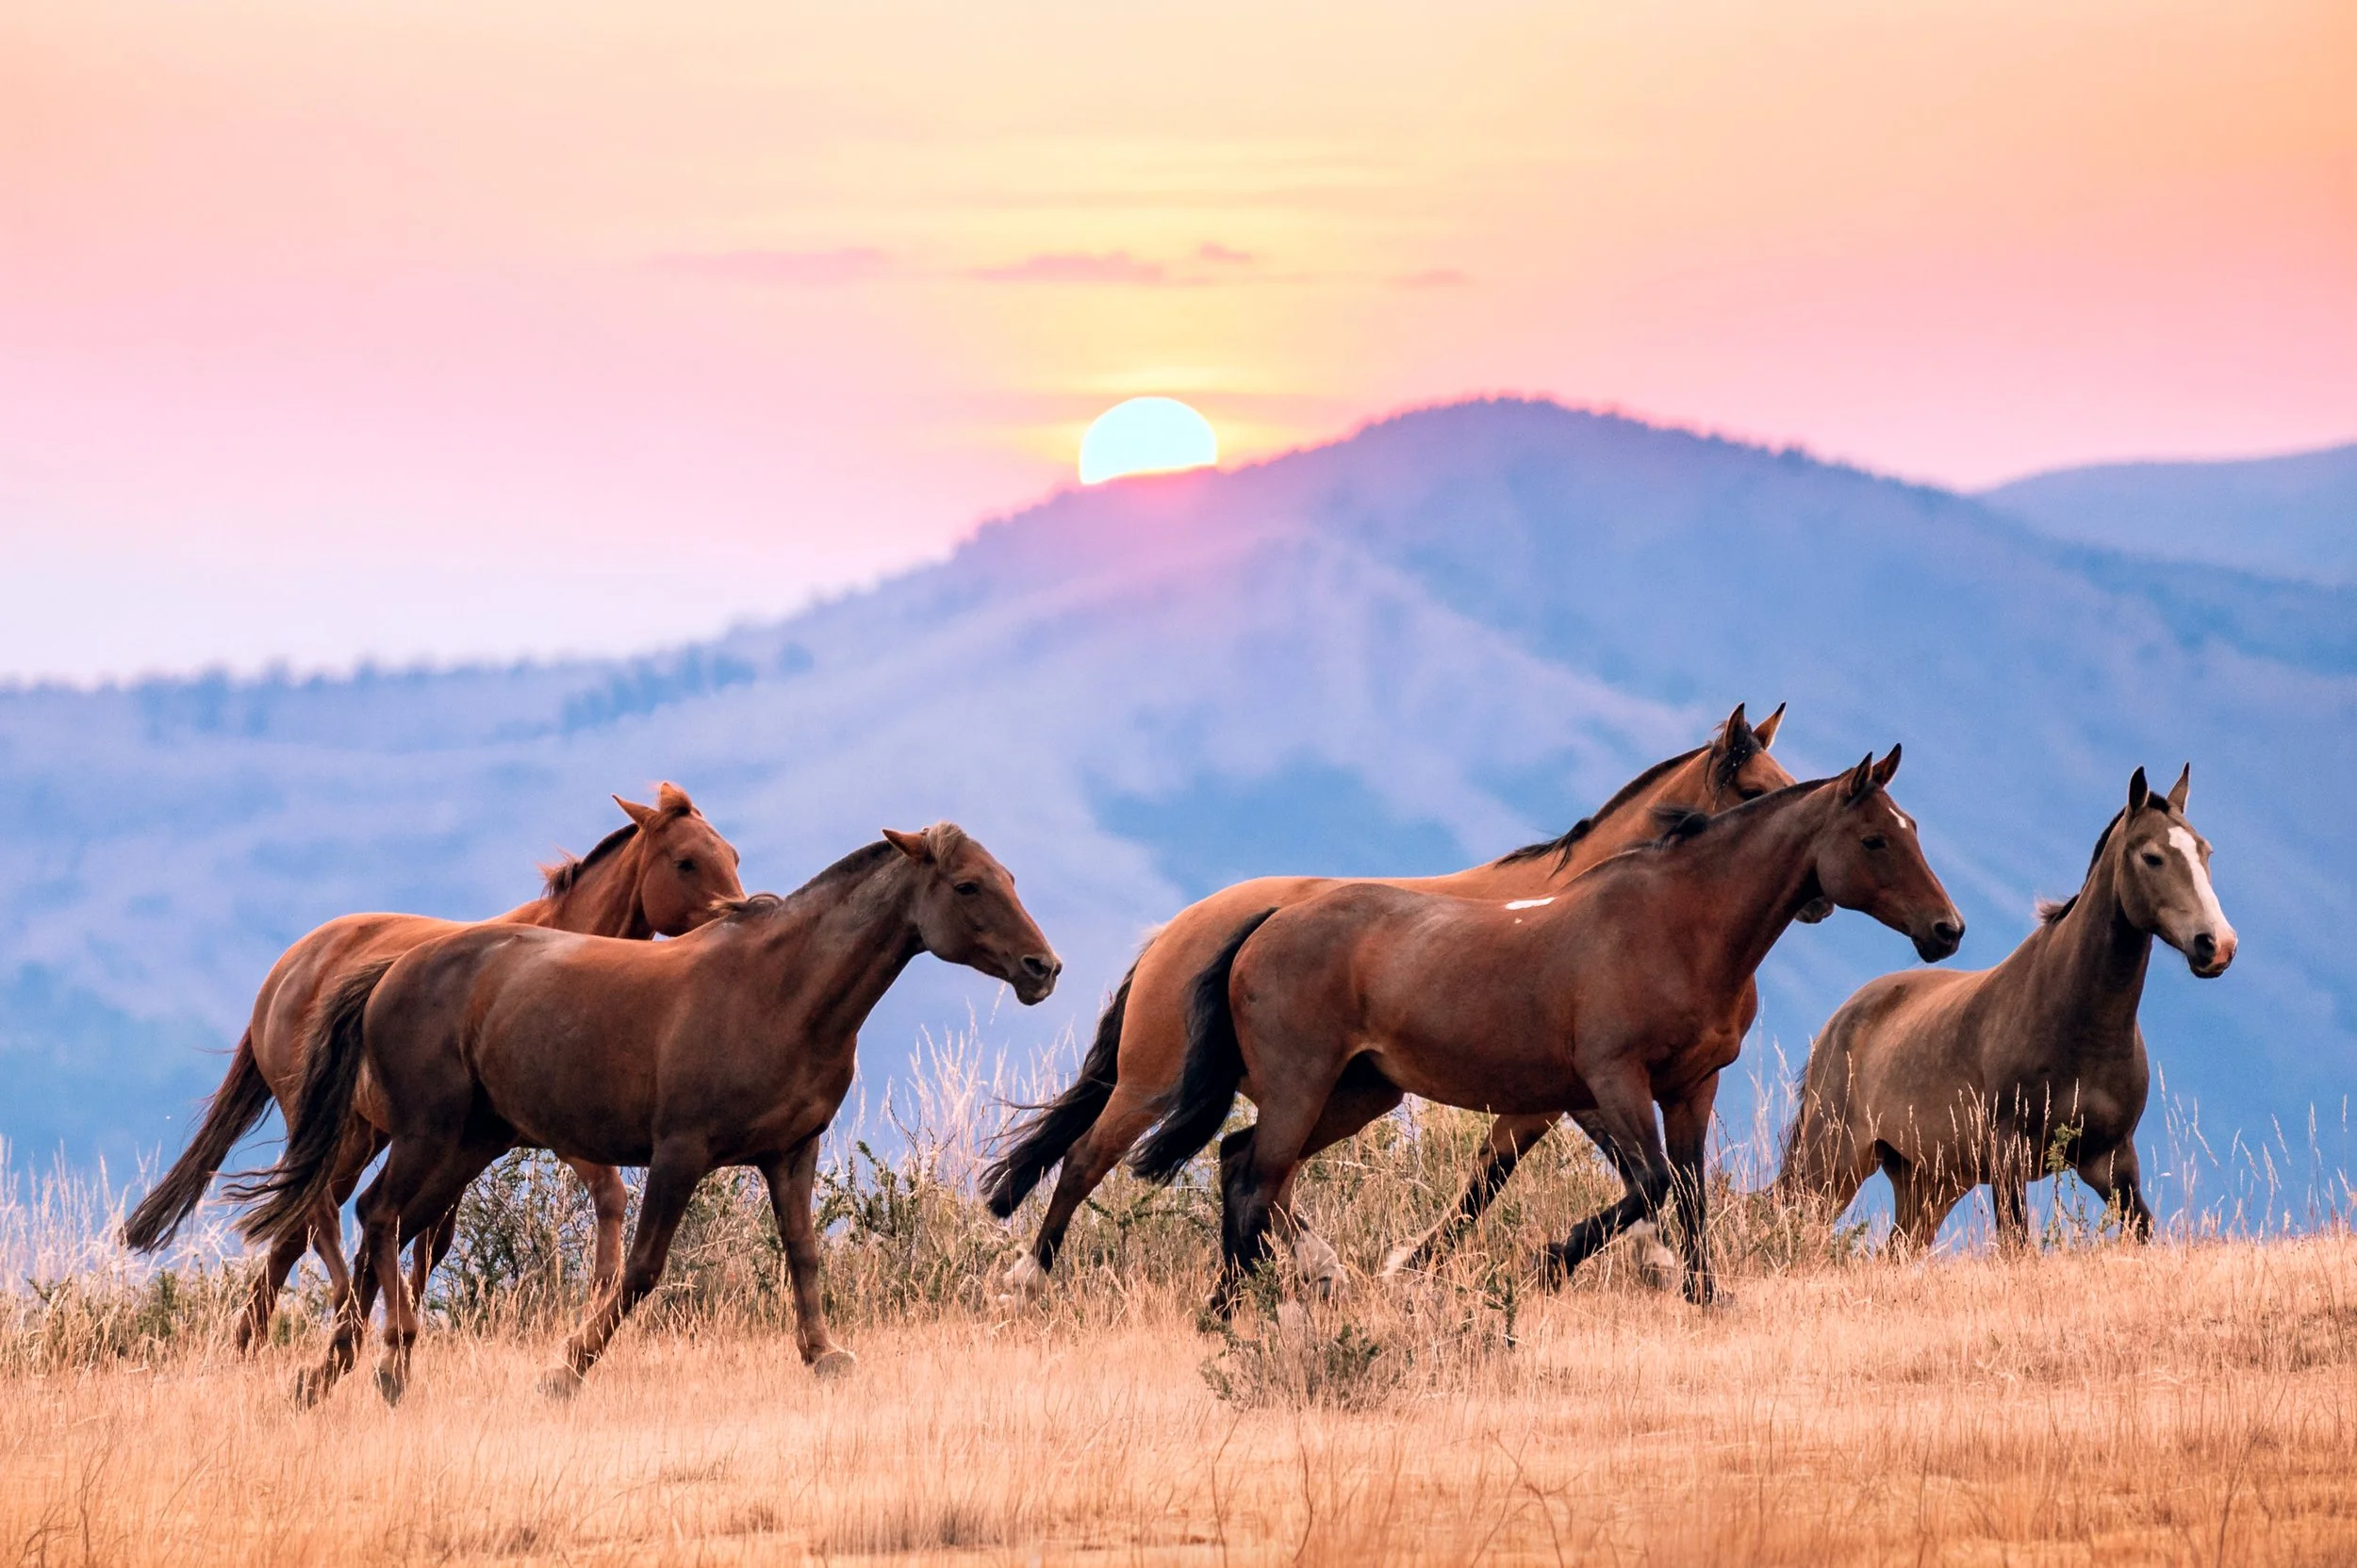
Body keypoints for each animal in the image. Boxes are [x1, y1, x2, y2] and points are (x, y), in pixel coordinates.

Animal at [123, 784, 744, 1350]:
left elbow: (430, 1239)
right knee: (319, 1212)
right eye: (686, 862)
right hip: (339, 1128)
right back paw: (340, 1310)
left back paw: (256, 1337)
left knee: (299, 1226)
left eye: (732, 857)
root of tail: (285, 972)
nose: (738, 917)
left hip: (365, 1133)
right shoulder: (552, 1129)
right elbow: (609, 1194)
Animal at [239, 823, 1059, 1405]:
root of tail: (389, 971)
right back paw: (390, 1358)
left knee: (387, 1227)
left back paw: (332, 1370)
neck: (781, 990)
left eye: (1010, 878)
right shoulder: (680, 1152)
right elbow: (639, 1271)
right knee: (376, 1214)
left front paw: (825, 1356)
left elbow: (802, 1252)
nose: (1042, 969)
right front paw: (565, 1369)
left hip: (469, 1143)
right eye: (967, 885)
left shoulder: (792, 1150)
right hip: (426, 1134)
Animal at [985, 703, 1810, 1300]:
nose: (1809, 897)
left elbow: (1534, 1174)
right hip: (1156, 1084)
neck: (1578, 906)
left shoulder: (1559, 1093)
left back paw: (1317, 1269)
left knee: (1265, 1172)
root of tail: (1176, 932)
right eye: (1755, 789)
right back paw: (1029, 1279)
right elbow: (1544, 1175)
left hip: (1335, 1087)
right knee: (1092, 1158)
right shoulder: (1570, 1089)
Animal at [1133, 750, 1962, 1316]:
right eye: (1875, 839)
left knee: (1242, 1162)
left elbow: (1689, 1189)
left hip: (1356, 1092)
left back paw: (1241, 1302)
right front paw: (1545, 1264)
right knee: (1255, 1176)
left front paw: (1704, 1295)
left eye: (1913, 828)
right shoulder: (1613, 1079)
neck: (1674, 926)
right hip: (1302, 1086)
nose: (1946, 930)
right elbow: (1653, 1183)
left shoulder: (1692, 1086)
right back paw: (1235, 1309)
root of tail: (1265, 922)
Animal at [1779, 766, 2233, 1247]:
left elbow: (2141, 1230)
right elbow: (2016, 1244)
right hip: (1834, 1163)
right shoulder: (2008, 1155)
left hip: (1930, 1183)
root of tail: (1837, 1023)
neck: (2079, 1023)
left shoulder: (2113, 1161)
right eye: (2152, 856)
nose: (2217, 944)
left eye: (2205, 851)